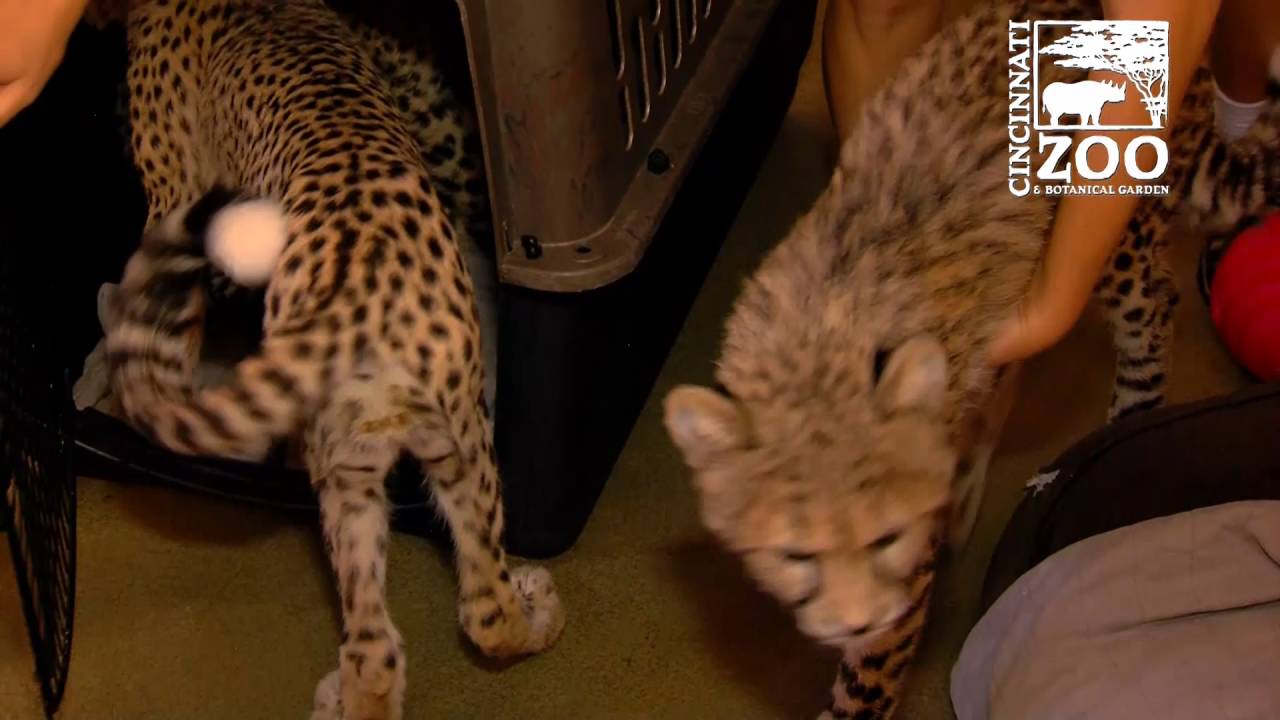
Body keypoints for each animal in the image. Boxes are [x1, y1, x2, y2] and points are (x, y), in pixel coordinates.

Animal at [95, 1, 564, 717]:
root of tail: (365, 296)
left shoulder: (173, 199)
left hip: (369, 462)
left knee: (400, 638)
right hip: (433, 453)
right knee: (456, 622)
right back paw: (532, 615)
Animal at [663, 0, 1280, 717]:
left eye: (886, 537)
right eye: (797, 554)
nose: (855, 620)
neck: (819, 350)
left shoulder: (903, 596)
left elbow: (864, 690)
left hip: (1113, 224)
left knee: (1153, 302)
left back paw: (1126, 416)